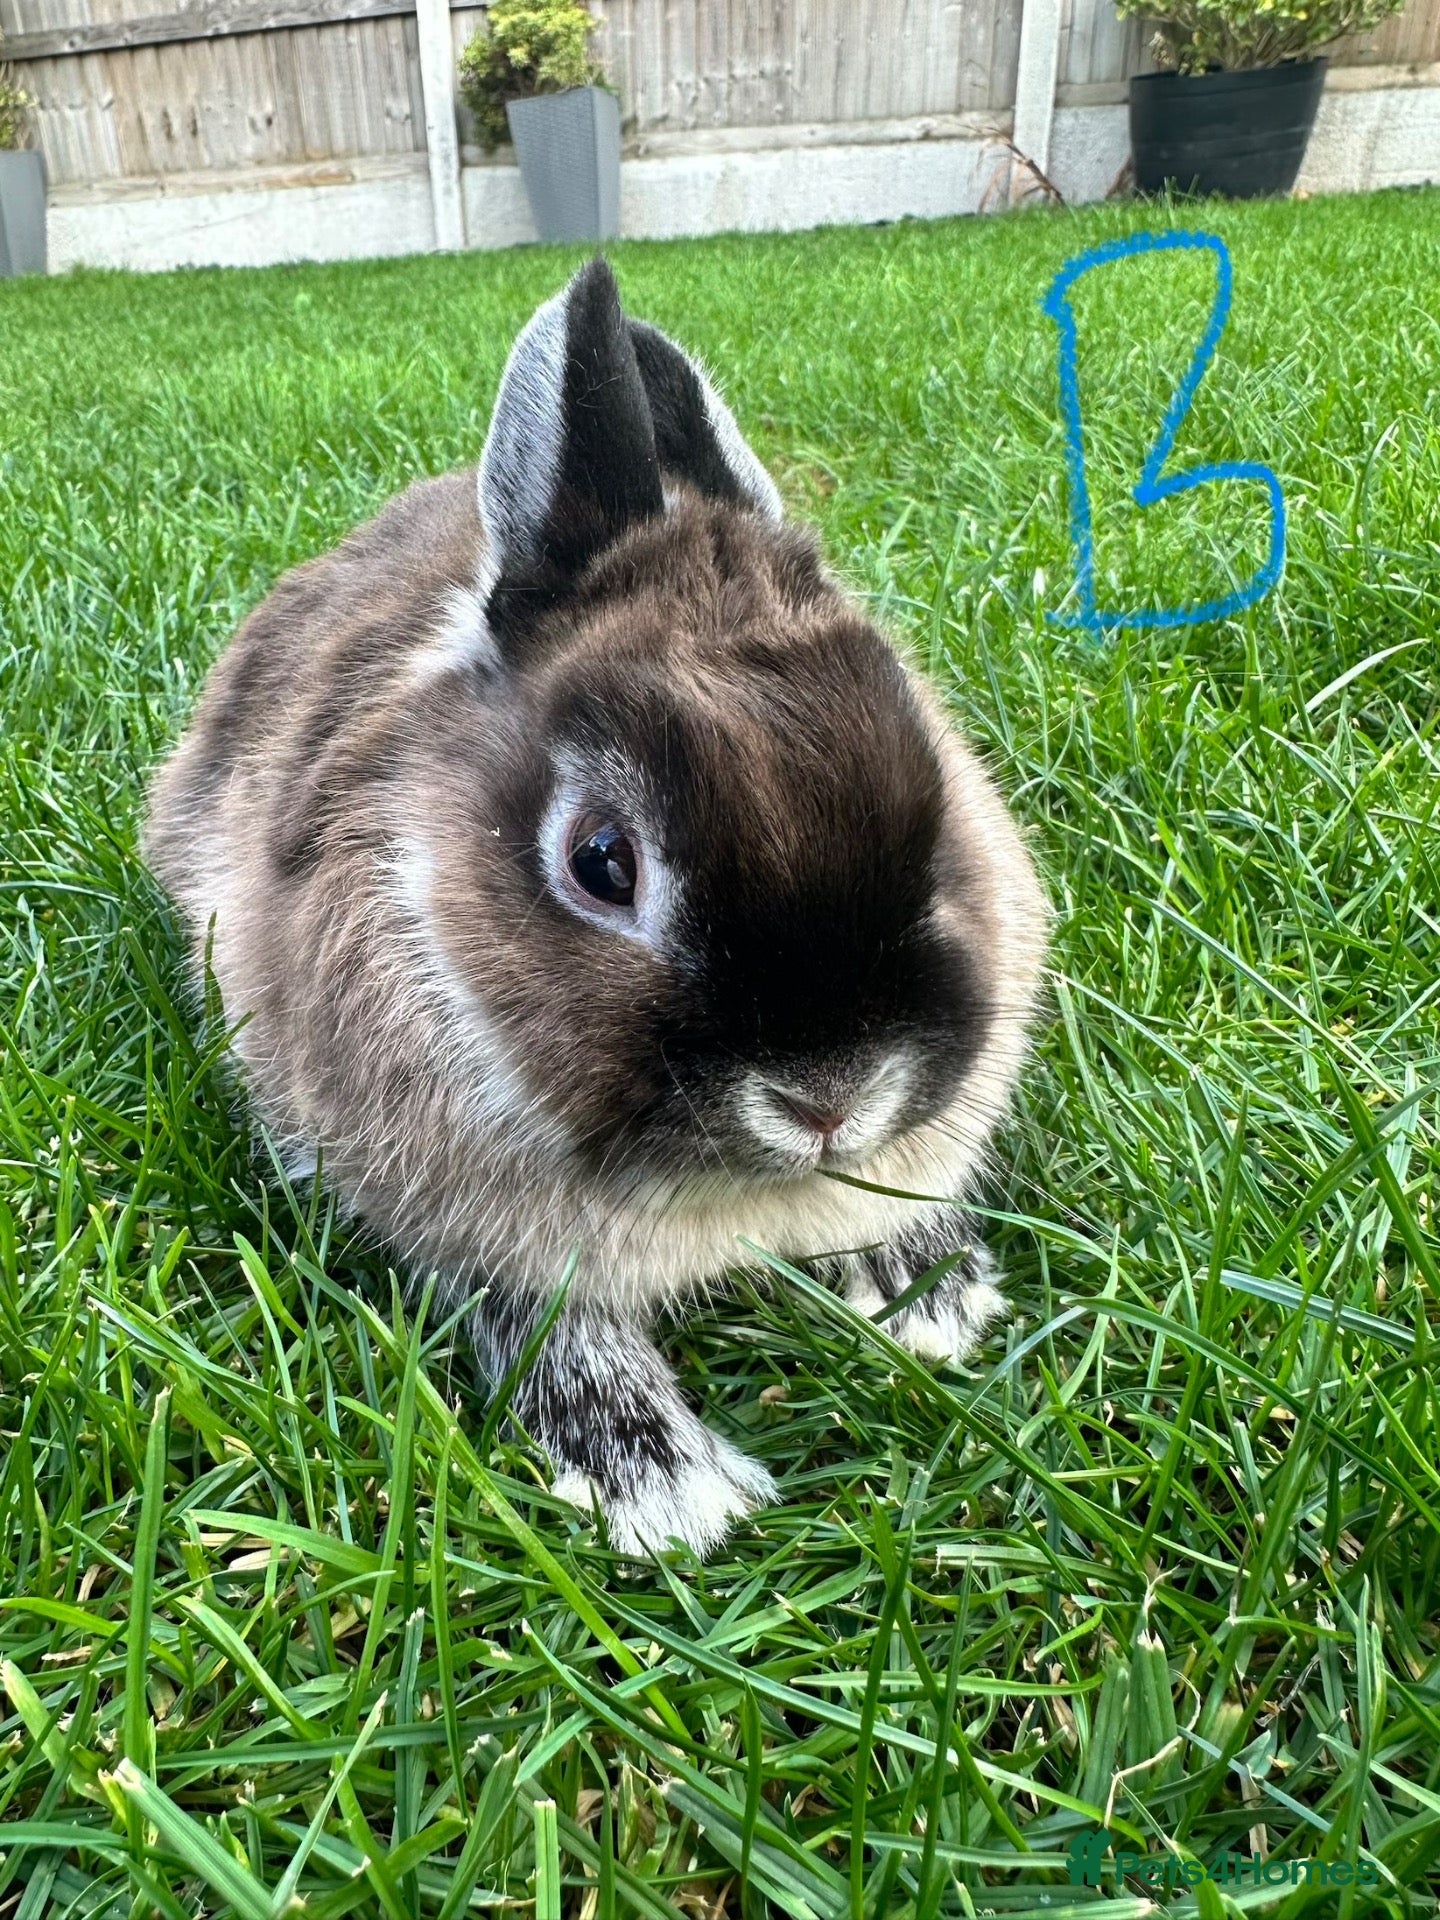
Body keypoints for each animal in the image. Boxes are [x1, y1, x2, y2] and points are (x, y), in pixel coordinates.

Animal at [144, 257, 1049, 1559]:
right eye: (602, 863)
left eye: (935, 821)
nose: (829, 1098)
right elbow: (542, 1324)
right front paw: (670, 1493)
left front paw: (933, 1301)